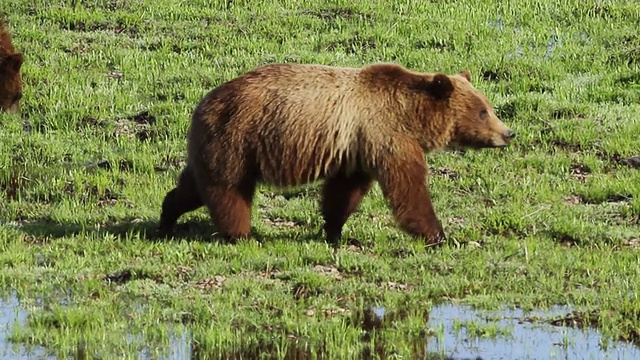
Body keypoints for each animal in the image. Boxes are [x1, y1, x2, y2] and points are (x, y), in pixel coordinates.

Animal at [159, 62, 516, 248]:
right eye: (483, 111)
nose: (508, 133)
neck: (410, 116)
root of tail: (203, 102)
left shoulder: (356, 149)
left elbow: (343, 193)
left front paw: (334, 231)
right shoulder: (385, 136)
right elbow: (408, 189)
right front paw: (439, 235)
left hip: (216, 144)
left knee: (193, 186)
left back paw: (167, 219)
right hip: (238, 138)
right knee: (228, 190)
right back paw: (241, 235)